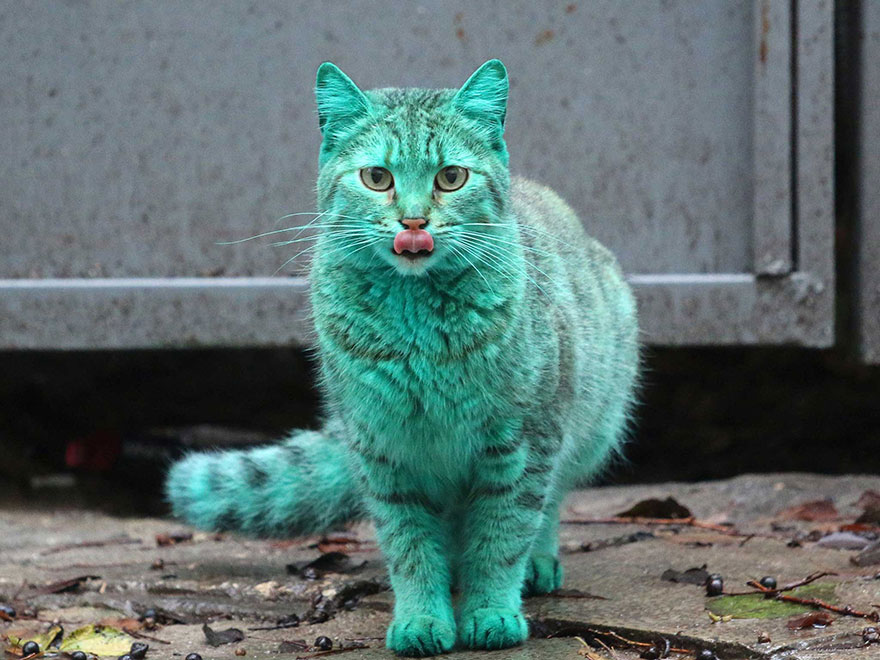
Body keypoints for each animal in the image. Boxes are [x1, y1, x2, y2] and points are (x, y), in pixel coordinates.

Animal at [168, 60, 640, 656]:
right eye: (377, 177)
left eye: (451, 177)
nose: (414, 221)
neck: (418, 330)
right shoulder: (385, 452)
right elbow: (410, 547)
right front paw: (422, 619)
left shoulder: (523, 444)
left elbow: (502, 535)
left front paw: (491, 611)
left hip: (590, 426)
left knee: (548, 505)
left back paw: (537, 563)